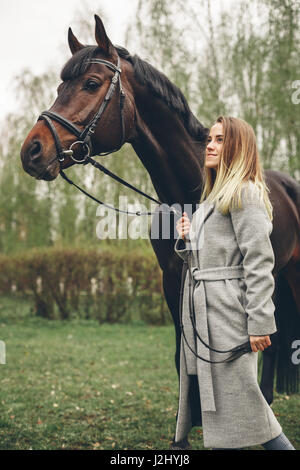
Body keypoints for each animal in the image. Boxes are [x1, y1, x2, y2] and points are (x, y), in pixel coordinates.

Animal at [19, 14, 298, 416]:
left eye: (91, 84)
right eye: (60, 86)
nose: (32, 150)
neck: (190, 193)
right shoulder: (171, 280)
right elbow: (183, 358)